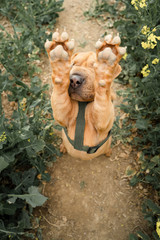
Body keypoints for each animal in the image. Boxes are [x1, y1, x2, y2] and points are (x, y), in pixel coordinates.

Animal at [44, 30, 125, 161]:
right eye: (72, 64)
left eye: (94, 67)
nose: (74, 80)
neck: (84, 104)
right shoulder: (63, 115)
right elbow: (60, 96)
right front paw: (60, 63)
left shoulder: (103, 122)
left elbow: (102, 102)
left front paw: (105, 66)